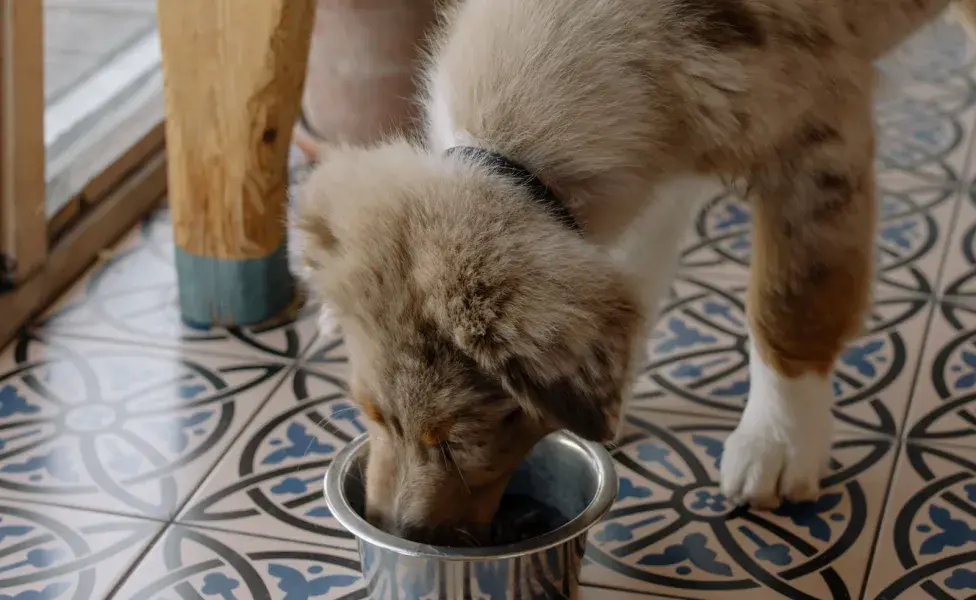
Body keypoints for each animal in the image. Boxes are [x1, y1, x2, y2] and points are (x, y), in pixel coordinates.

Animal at [294, 0, 976, 544]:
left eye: (460, 440)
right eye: (370, 413)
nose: (393, 529)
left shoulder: (816, 135)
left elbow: (792, 301)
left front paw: (778, 442)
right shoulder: (679, 144)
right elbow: (634, 271)